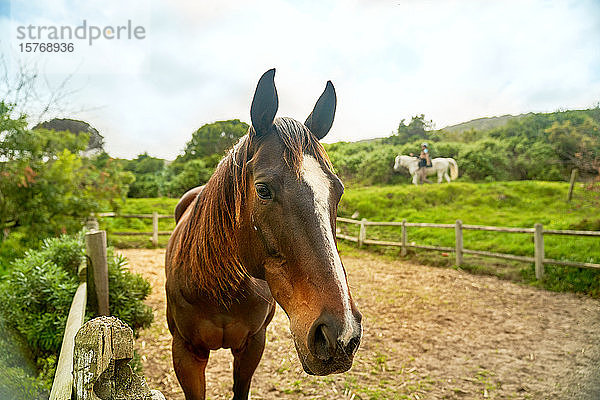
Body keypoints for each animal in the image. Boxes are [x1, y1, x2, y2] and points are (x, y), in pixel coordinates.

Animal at [164, 70, 360, 398]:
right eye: (263, 190)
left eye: (338, 191)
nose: (340, 335)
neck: (219, 290)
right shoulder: (185, 353)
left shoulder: (253, 345)